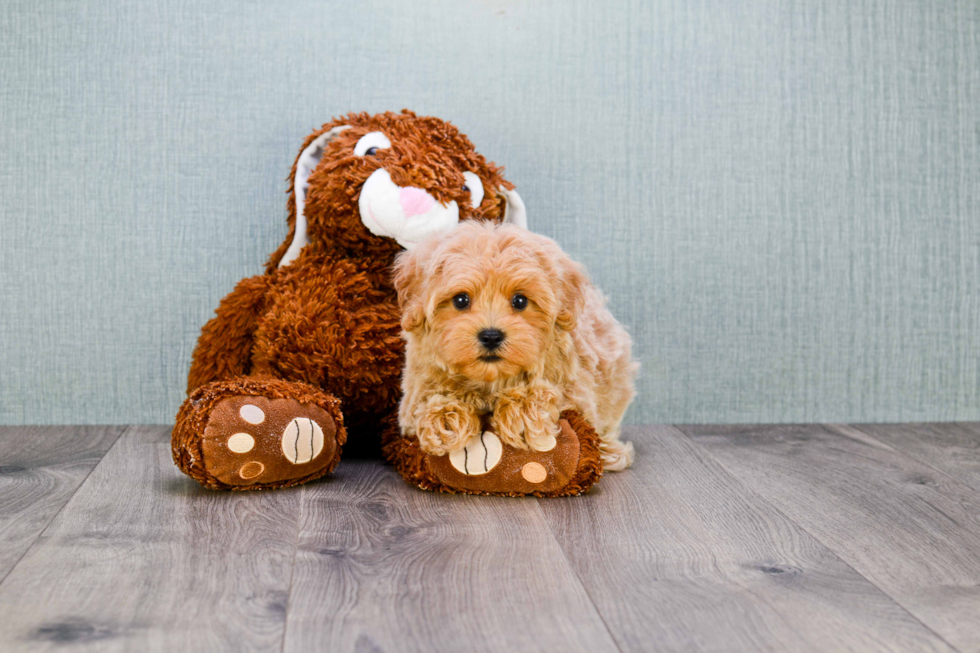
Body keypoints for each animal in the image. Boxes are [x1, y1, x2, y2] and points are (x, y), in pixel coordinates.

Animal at [394, 222, 640, 472]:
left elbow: (559, 398)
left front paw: (522, 410)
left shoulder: (576, 390)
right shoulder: (414, 395)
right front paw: (444, 419)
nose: (491, 336)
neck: (490, 381)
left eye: (520, 301)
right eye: (460, 300)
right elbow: (424, 405)